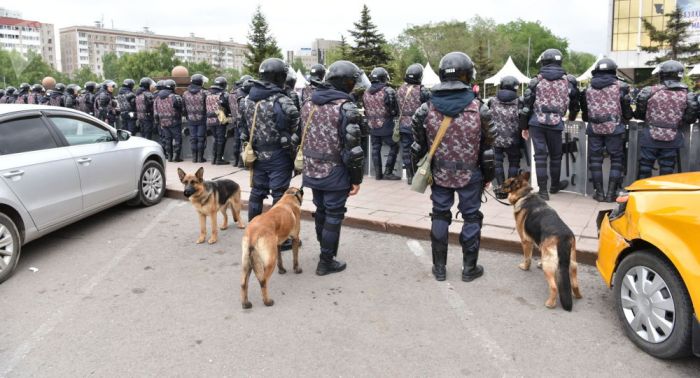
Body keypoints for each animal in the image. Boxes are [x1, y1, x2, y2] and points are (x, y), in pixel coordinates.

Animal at [500, 171, 584, 310]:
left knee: (554, 287)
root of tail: (563, 237)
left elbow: (527, 258)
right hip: (572, 264)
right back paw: (578, 296)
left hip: (549, 267)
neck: (524, 195)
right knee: (575, 284)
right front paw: (538, 262)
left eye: (504, 184)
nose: (495, 188)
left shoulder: (526, 242)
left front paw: (525, 267)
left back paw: (550, 303)